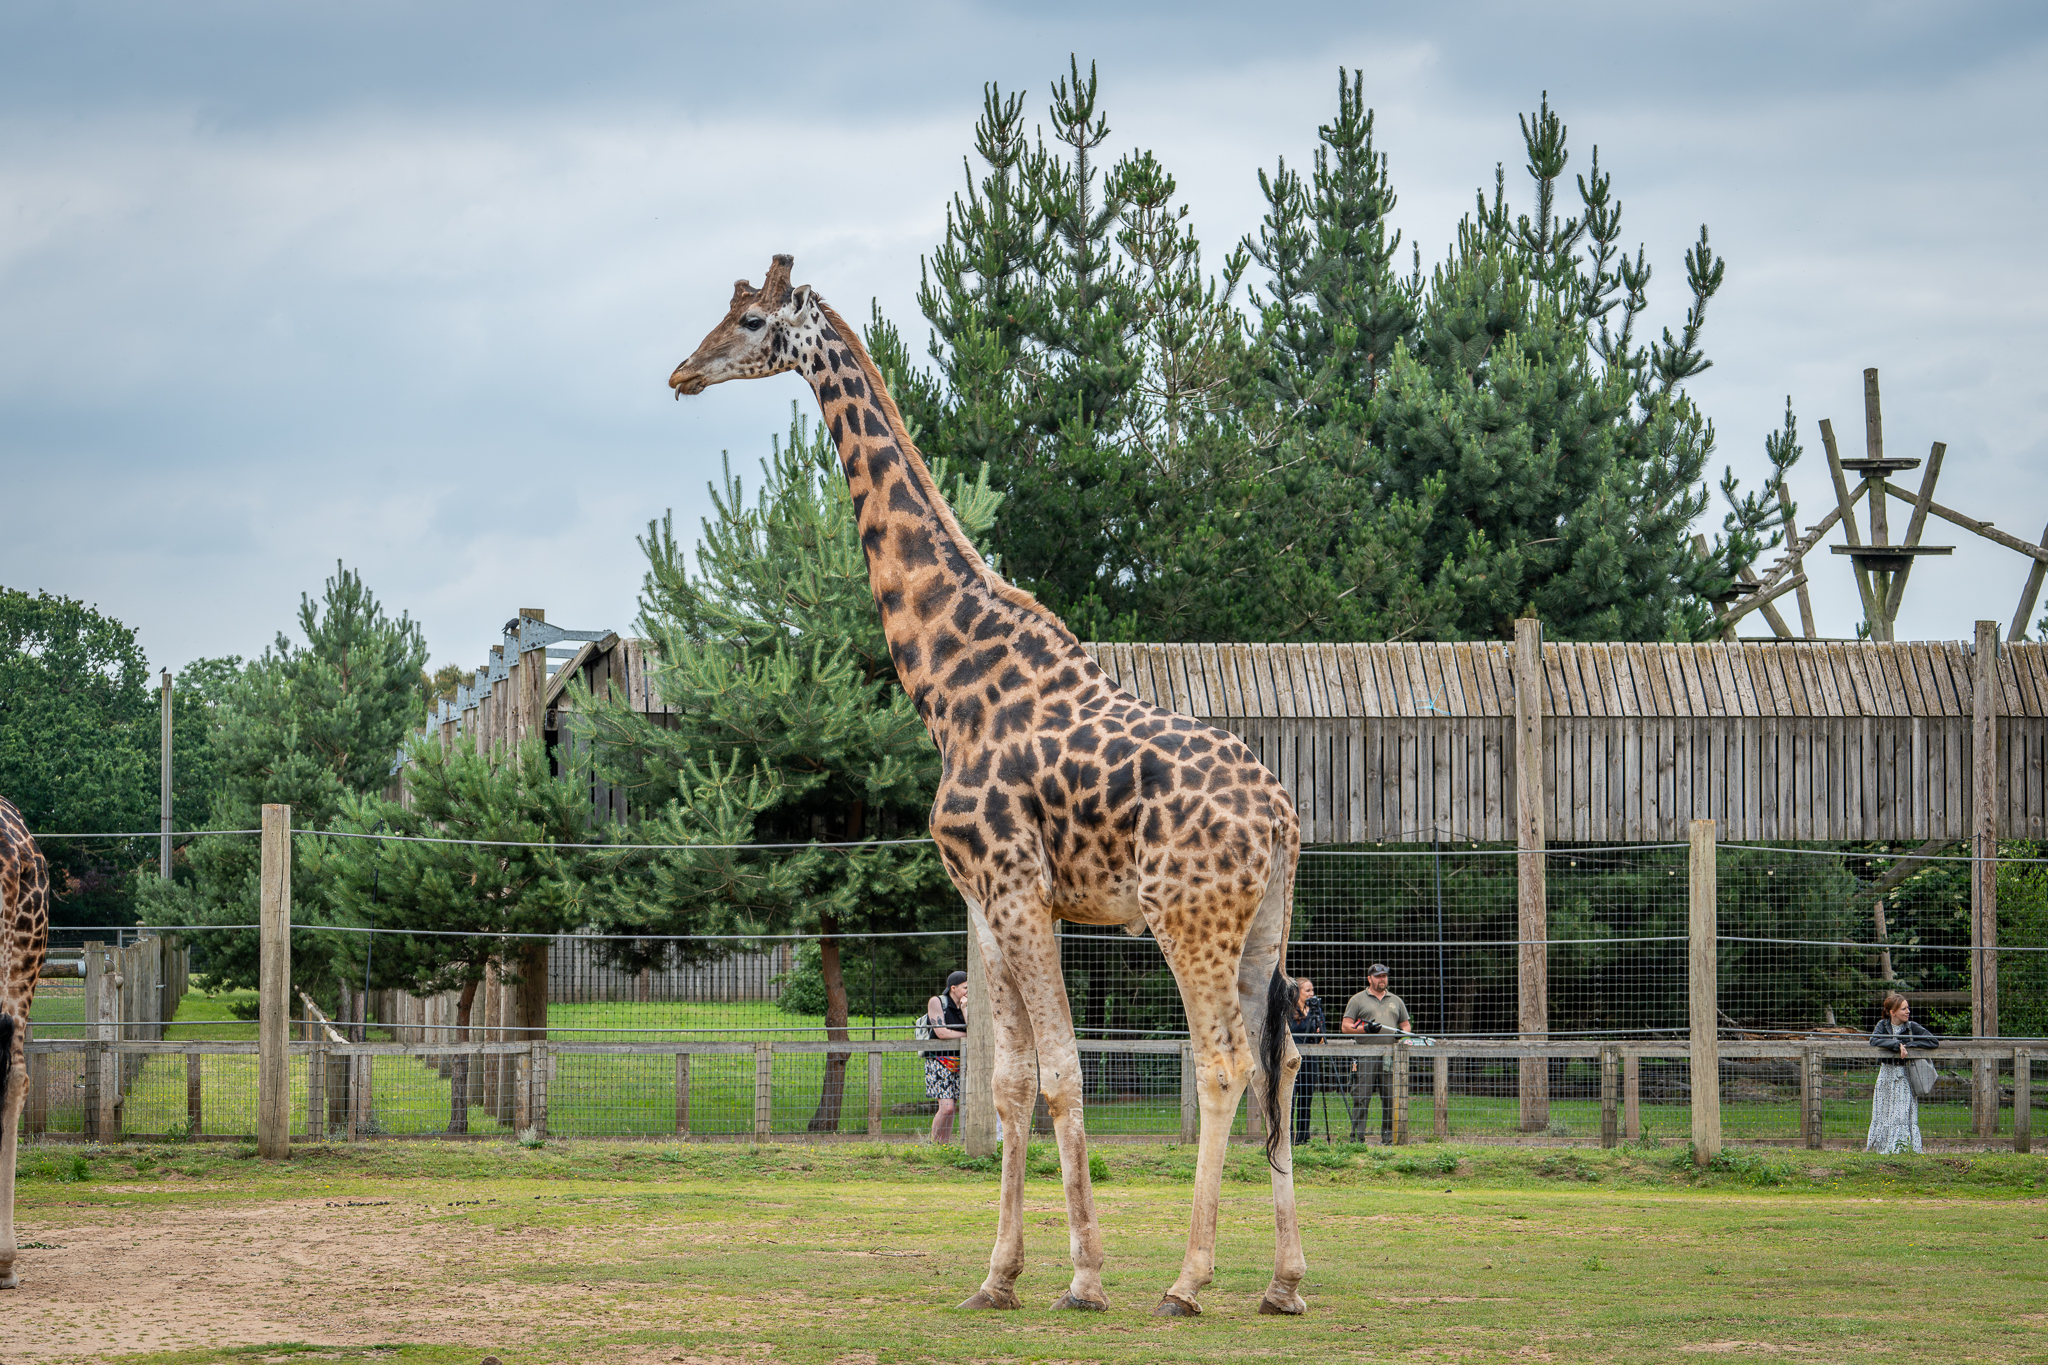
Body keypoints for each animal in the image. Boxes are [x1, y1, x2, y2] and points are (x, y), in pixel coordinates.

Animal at [669, 256, 1309, 1318]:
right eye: (721, 311)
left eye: (752, 321)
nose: (683, 372)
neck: (945, 682)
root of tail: (1284, 818)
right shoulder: (991, 897)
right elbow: (1006, 1082)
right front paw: (998, 1275)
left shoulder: (1015, 887)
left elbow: (1059, 1074)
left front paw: (1085, 1276)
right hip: (1264, 922)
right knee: (1282, 1058)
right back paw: (1284, 1282)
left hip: (1188, 918)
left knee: (1222, 1061)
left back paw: (1186, 1281)